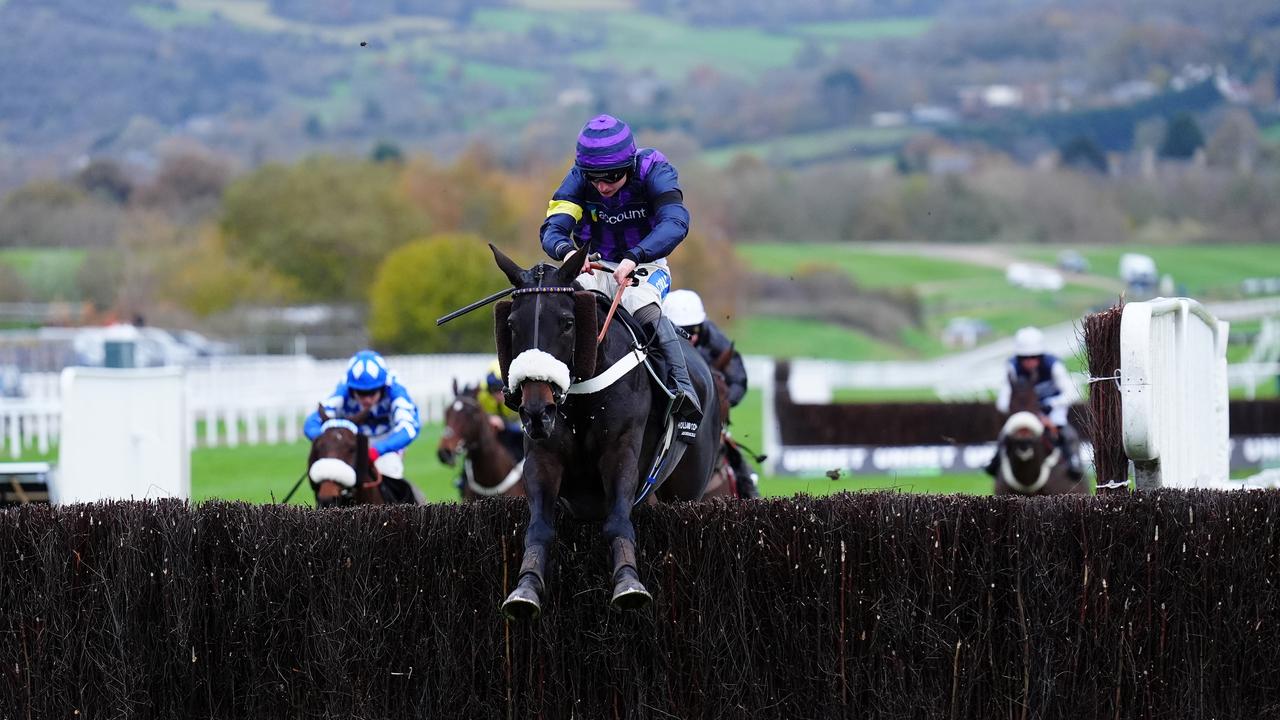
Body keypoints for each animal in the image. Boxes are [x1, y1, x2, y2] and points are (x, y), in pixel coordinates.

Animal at [494, 244, 727, 617]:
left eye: (568, 322)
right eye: (512, 324)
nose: (536, 411)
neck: (582, 392)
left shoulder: (621, 452)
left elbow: (617, 520)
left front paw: (629, 583)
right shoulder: (542, 457)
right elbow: (539, 528)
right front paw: (525, 588)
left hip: (688, 486)